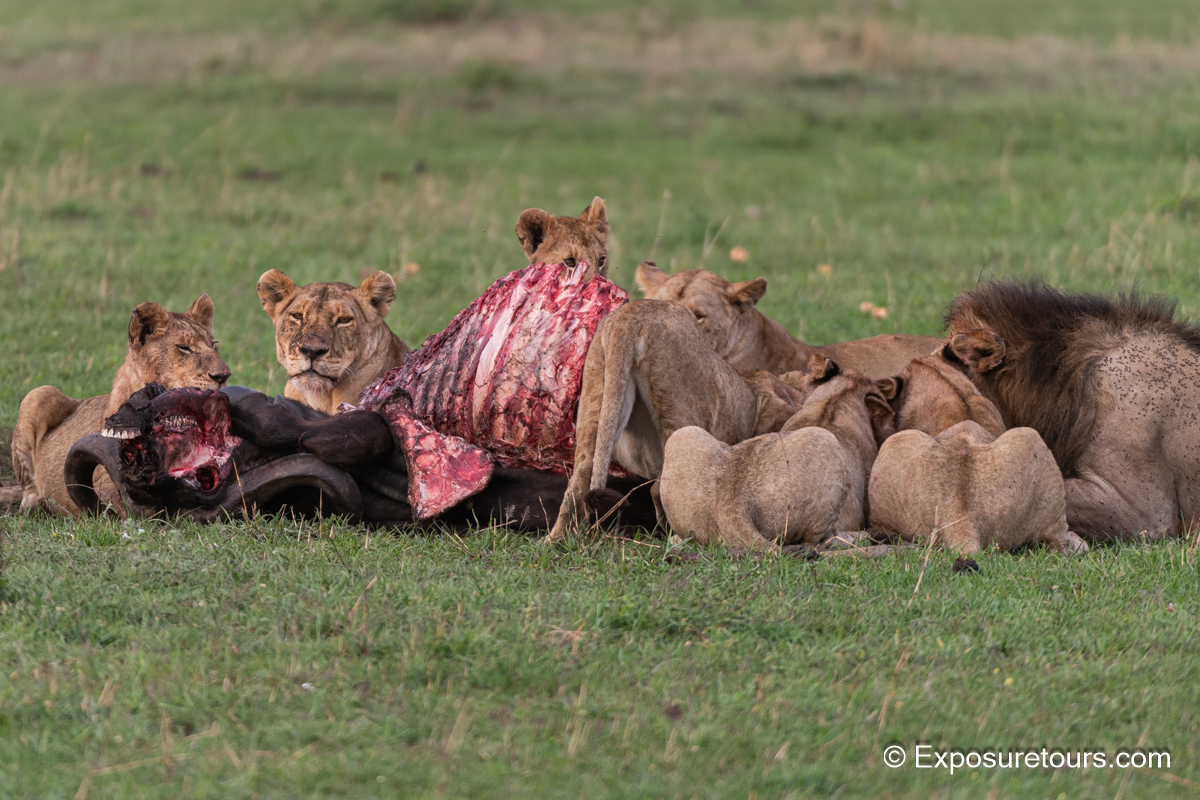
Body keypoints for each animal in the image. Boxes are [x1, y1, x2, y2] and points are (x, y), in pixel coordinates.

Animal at [11, 295, 230, 515]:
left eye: (213, 345)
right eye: (184, 347)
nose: (224, 375)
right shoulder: (102, 480)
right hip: (38, 393)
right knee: (29, 487)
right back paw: (34, 504)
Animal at [659, 355, 894, 551]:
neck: (839, 398)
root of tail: (731, 506)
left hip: (684, 433)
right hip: (825, 442)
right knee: (817, 541)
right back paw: (861, 537)